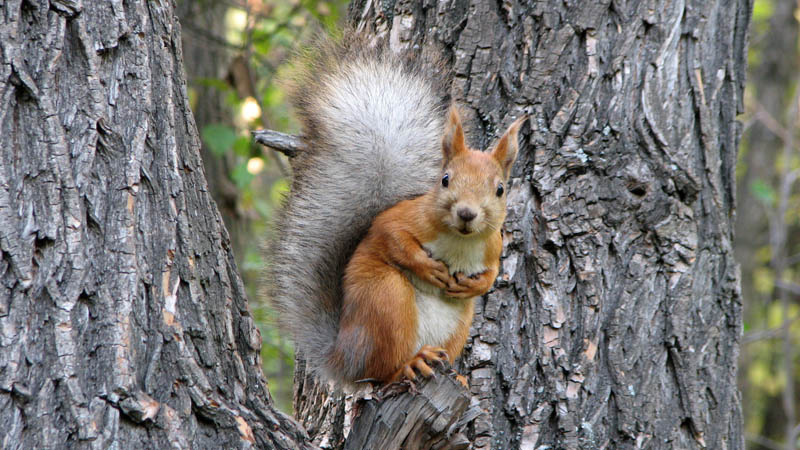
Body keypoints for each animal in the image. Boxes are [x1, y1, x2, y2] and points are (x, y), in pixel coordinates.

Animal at [268, 34, 524, 387]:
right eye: (445, 179)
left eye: (500, 189)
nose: (466, 213)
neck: (459, 241)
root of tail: (346, 358)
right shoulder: (404, 218)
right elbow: (390, 235)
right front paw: (427, 267)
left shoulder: (493, 245)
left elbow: (493, 272)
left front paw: (477, 285)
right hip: (387, 300)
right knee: (381, 373)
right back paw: (410, 365)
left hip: (458, 323)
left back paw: (455, 375)